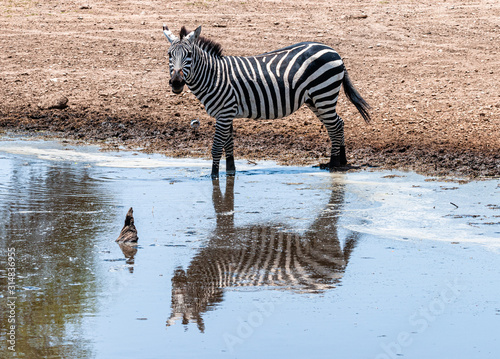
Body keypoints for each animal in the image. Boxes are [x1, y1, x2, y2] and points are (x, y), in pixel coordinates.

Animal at [164, 24, 372, 179]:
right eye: (169, 55)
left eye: (189, 55)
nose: (176, 83)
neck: (215, 76)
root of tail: (334, 51)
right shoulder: (227, 114)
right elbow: (229, 147)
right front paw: (231, 173)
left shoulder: (224, 113)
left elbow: (216, 148)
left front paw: (213, 177)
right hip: (316, 99)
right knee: (337, 124)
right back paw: (340, 161)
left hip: (323, 94)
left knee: (335, 126)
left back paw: (334, 164)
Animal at [167, 177, 360, 332]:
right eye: (172, 301)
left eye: (185, 300)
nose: (175, 277)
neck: (217, 271)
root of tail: (334, 280)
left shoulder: (225, 237)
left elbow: (220, 204)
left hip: (324, 235)